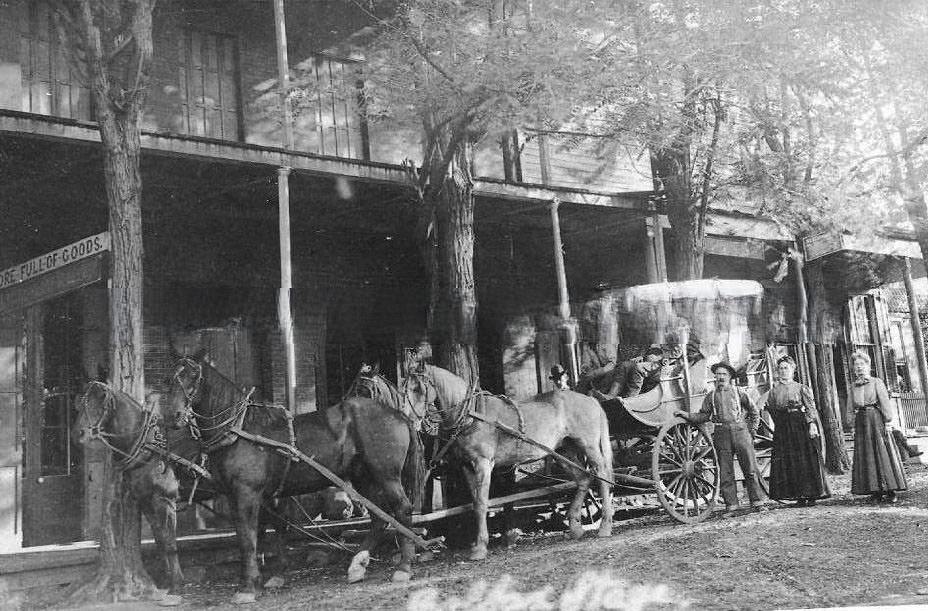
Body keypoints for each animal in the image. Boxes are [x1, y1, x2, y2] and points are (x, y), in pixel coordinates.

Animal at [74, 384, 185, 592]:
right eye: (81, 404)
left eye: (99, 406)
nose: (78, 434)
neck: (148, 449)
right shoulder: (146, 500)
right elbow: (160, 540)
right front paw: (166, 580)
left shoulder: (165, 500)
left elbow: (170, 542)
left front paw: (177, 583)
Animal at [166, 356, 424, 600]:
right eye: (171, 379)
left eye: (193, 376)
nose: (174, 416)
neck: (240, 429)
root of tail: (398, 415)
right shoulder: (247, 495)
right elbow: (261, 533)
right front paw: (264, 579)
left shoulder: (247, 493)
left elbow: (248, 537)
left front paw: (247, 588)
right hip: (363, 478)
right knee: (379, 517)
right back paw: (357, 566)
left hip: (386, 475)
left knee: (401, 509)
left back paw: (403, 567)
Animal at [402, 364, 612, 560]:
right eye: (404, 388)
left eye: (418, 388)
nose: (408, 420)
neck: (471, 415)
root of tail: (590, 400)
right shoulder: (467, 466)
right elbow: (475, 503)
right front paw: (478, 544)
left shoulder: (483, 464)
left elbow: (482, 503)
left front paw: (480, 547)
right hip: (563, 452)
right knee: (583, 478)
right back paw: (575, 528)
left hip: (588, 446)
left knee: (601, 474)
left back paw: (605, 526)